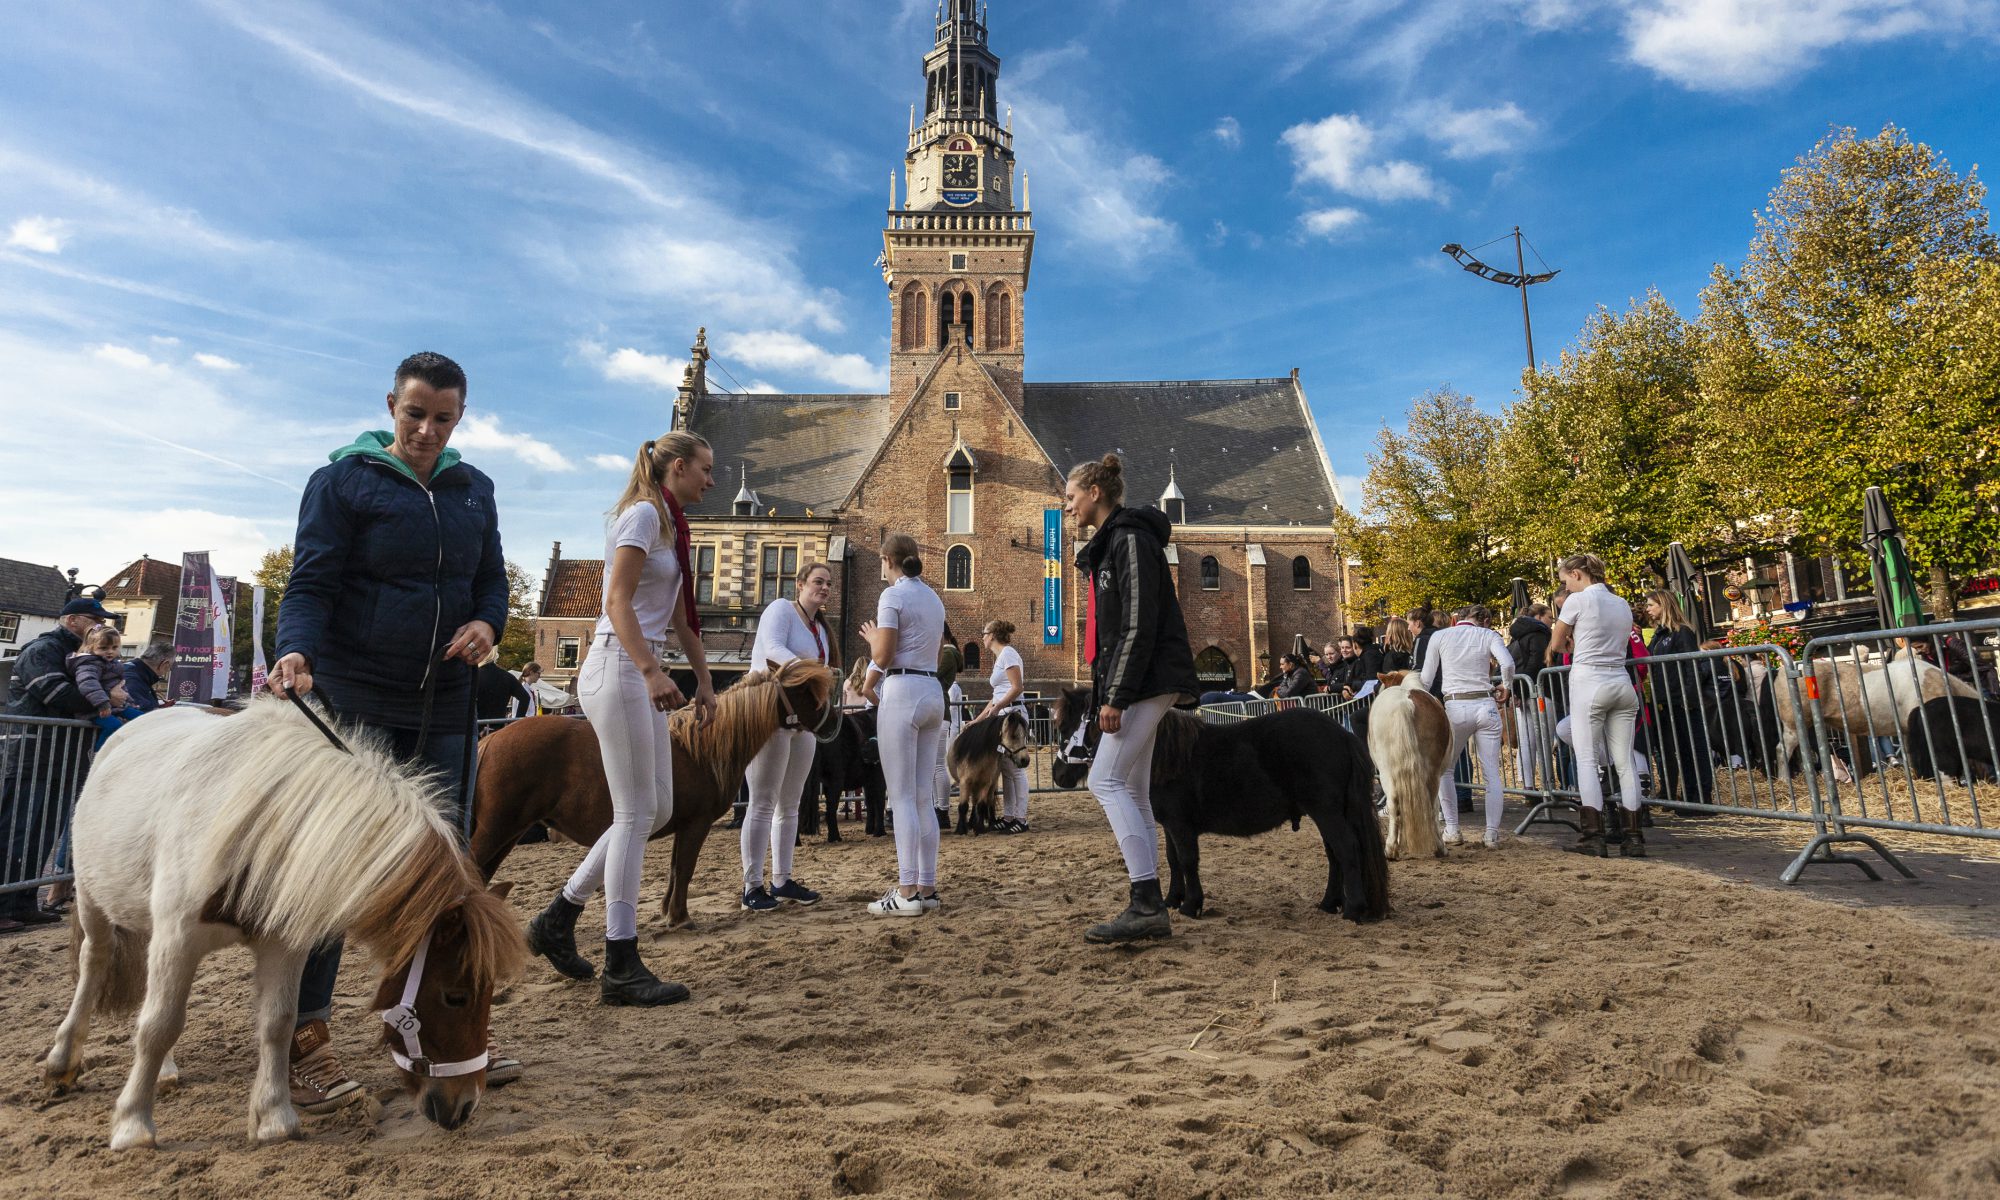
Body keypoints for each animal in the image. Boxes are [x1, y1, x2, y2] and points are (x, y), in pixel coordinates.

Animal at [42, 700, 524, 1152]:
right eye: (455, 996)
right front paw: (133, 1125)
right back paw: (63, 1059)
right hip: (94, 901)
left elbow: (279, 1021)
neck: (261, 826)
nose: (464, 1104)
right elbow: (158, 1025)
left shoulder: (283, 944)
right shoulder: (178, 937)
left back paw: (165, 1071)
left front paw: (274, 1117)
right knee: (94, 963)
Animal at [472, 656, 832, 928]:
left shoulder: (683, 825)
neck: (699, 749)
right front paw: (681, 918)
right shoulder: (696, 824)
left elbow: (675, 870)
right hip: (497, 827)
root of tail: (490, 740)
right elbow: (685, 869)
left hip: (509, 833)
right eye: (808, 691)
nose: (832, 724)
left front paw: (668, 912)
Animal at [1048, 688, 1392, 924]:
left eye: (1067, 728)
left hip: (1327, 811)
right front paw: (1173, 900)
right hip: (1326, 813)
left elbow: (1188, 861)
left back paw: (1354, 909)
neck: (1166, 756)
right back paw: (1328, 903)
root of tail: (1343, 735)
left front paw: (1192, 905)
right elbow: (1173, 860)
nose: (1058, 775)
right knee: (1335, 855)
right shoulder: (1170, 826)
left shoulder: (1181, 824)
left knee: (1347, 849)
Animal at [1368, 676, 1448, 864]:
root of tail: (1404, 704)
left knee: (1394, 804)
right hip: (1431, 773)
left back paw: (1391, 849)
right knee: (1428, 805)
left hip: (1387, 771)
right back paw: (1438, 847)